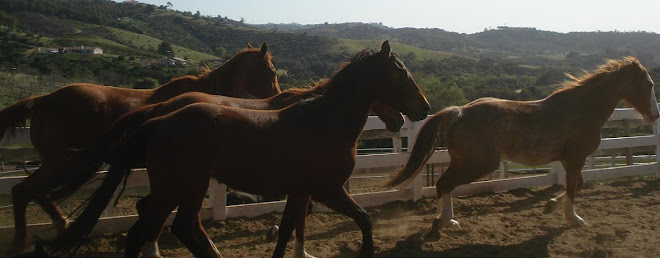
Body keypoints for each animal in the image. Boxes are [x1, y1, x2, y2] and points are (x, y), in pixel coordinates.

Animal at [0, 42, 282, 254]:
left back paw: (60, 226)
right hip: (61, 162)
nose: (278, 95)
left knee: (35, 192)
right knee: (23, 190)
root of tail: (44, 99)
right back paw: (22, 240)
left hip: (60, 163)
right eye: (272, 70)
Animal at [42, 40, 434, 258]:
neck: (324, 120)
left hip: (186, 187)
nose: (423, 109)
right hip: (179, 186)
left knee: (177, 227)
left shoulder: (301, 191)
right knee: (153, 230)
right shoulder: (328, 189)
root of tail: (159, 120)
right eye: (401, 72)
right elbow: (364, 219)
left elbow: (289, 228)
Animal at [384, 56, 656, 230]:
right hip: (478, 164)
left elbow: (577, 184)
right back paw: (445, 222)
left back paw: (445, 221)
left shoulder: (569, 160)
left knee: (444, 185)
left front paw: (550, 206)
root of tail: (459, 112)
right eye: (649, 84)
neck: (583, 109)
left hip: (463, 161)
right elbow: (572, 187)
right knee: (444, 184)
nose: (655, 115)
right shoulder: (575, 158)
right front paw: (574, 219)